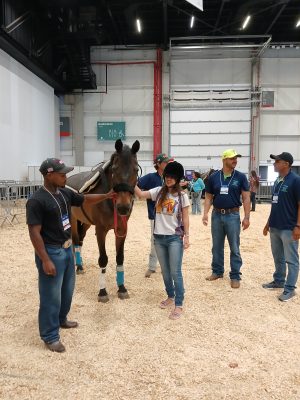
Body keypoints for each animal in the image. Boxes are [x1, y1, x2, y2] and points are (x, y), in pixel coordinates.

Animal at [67, 139, 140, 302]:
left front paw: (121, 288)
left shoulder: (121, 230)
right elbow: (103, 259)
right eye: (114, 168)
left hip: (86, 223)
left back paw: (80, 265)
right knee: (75, 241)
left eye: (136, 170)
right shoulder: (100, 230)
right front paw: (102, 291)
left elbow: (120, 258)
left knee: (80, 240)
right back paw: (78, 267)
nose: (123, 207)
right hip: (73, 221)